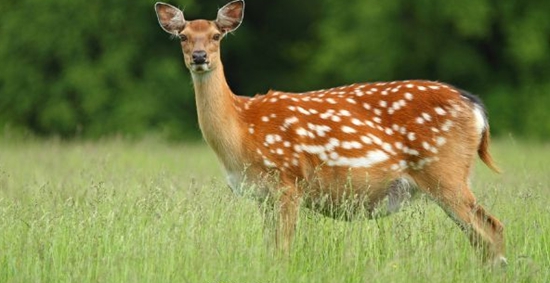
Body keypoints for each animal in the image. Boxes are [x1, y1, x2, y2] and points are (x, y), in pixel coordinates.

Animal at [155, 0, 508, 268]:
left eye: (216, 35)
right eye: (183, 36)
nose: (199, 57)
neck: (242, 131)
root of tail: (476, 108)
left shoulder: (288, 182)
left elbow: (283, 250)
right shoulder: (262, 195)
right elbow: (271, 249)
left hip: (445, 172)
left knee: (492, 229)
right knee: (483, 235)